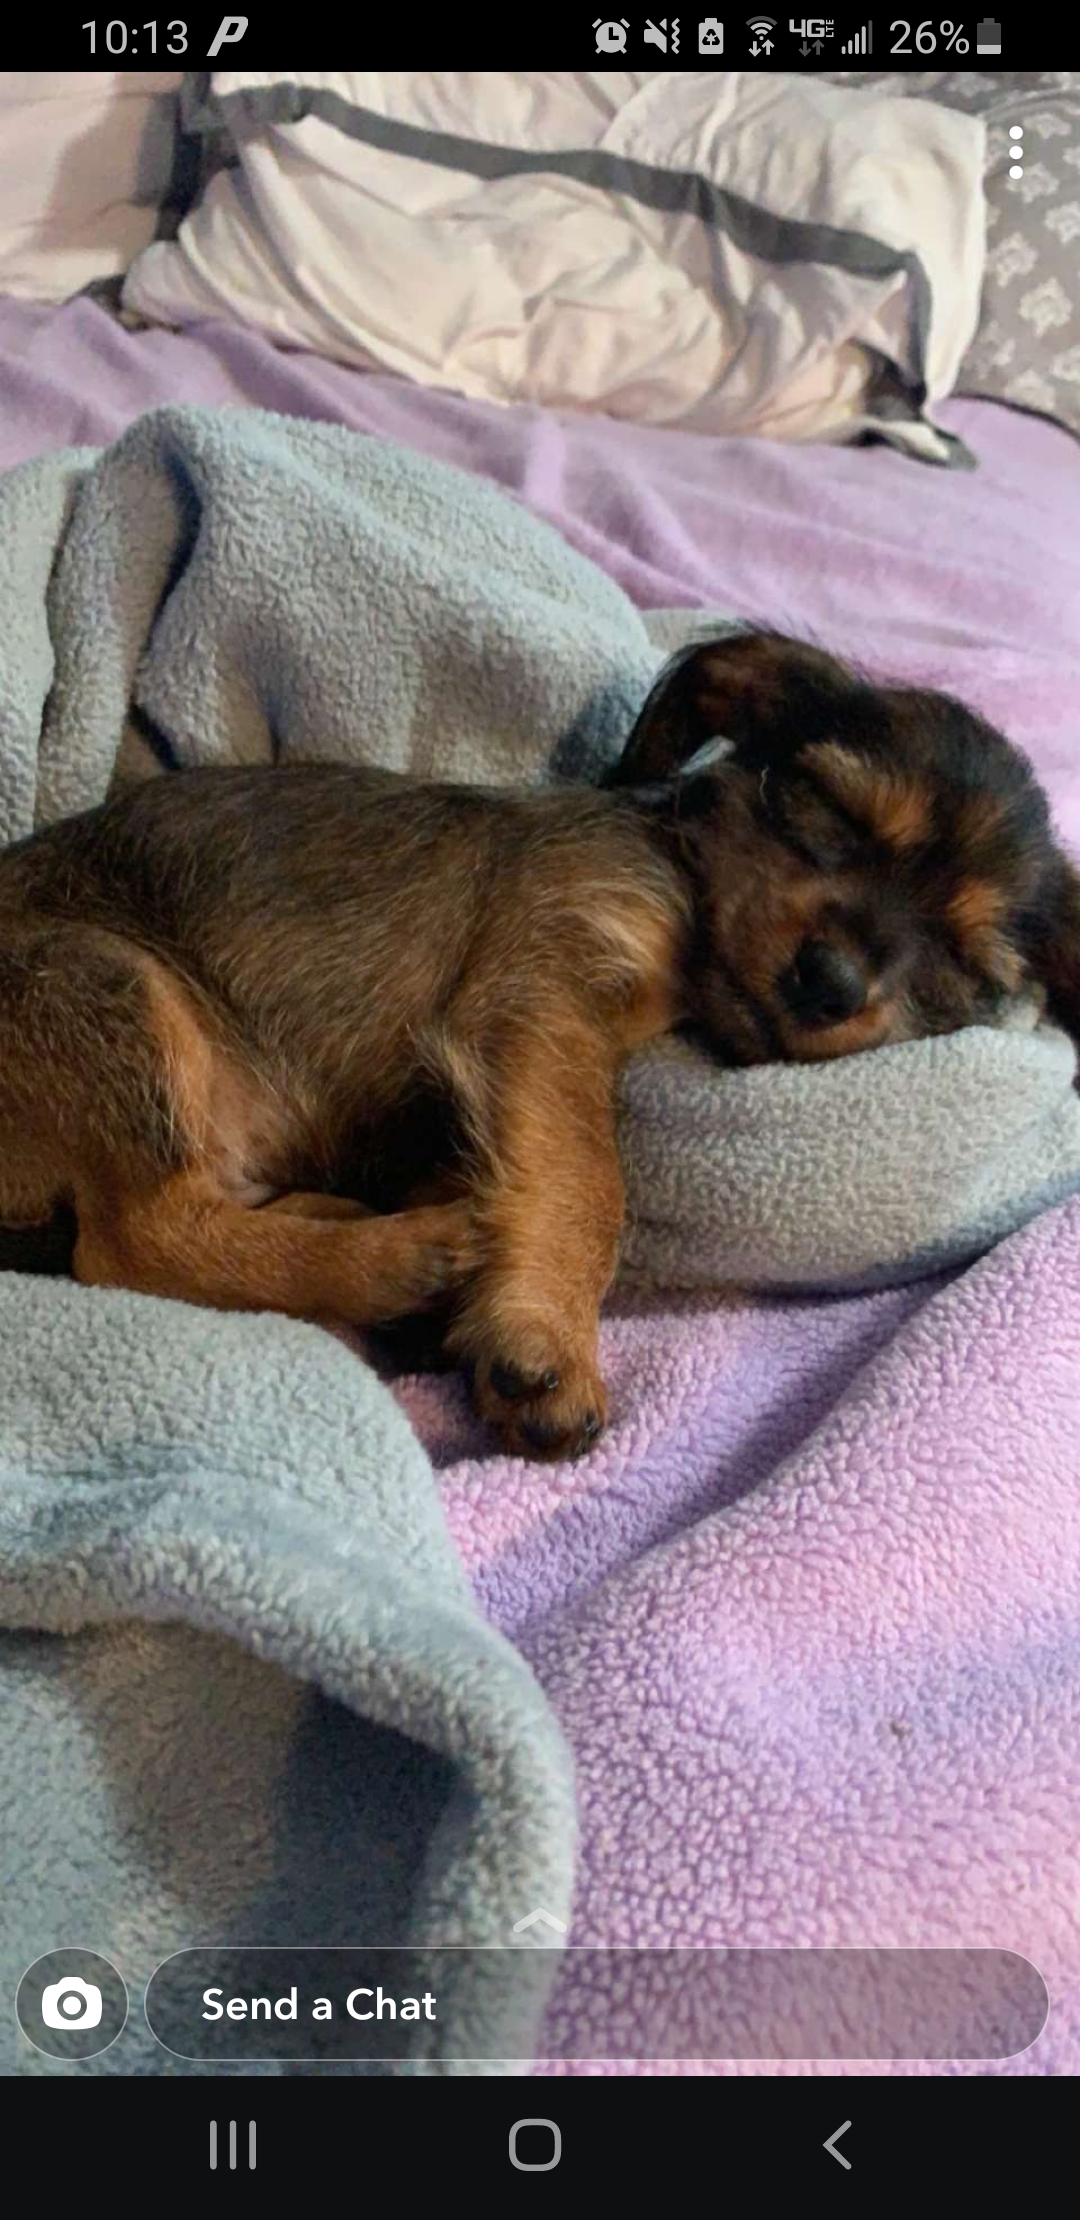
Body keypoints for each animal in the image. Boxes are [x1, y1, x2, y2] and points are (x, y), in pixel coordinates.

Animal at [2, 630, 1078, 1459]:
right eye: (823, 809)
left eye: (965, 966)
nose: (830, 983)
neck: (685, 894)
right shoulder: (545, 996)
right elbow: (590, 1179)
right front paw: (550, 1338)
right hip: (109, 991)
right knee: (135, 1241)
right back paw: (408, 1258)